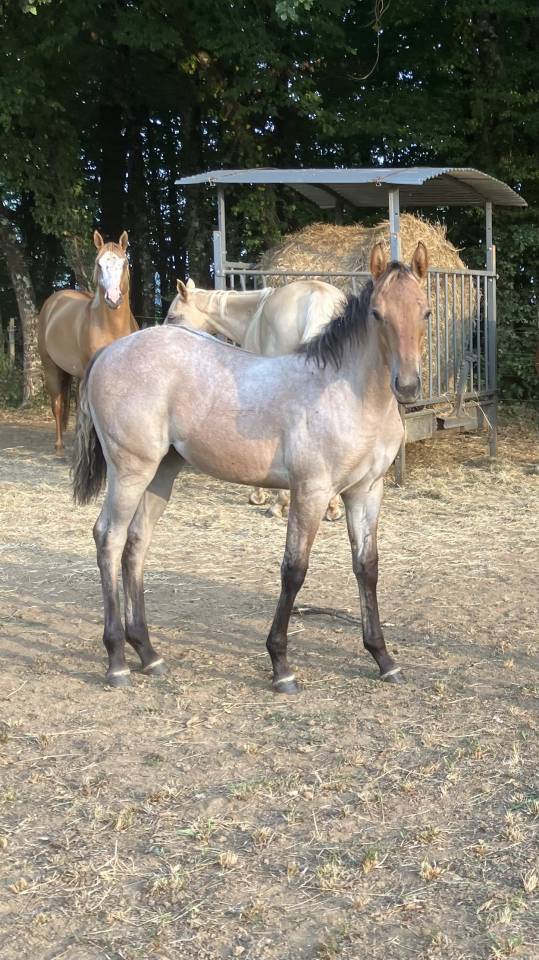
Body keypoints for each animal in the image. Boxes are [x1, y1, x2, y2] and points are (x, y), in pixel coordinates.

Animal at [38, 230, 137, 453]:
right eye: (99, 264)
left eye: (124, 263)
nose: (113, 298)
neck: (112, 327)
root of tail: (54, 300)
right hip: (51, 367)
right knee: (58, 405)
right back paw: (59, 446)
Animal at [165, 277, 345, 520]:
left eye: (173, 316)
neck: (252, 314)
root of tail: (318, 296)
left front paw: (258, 496)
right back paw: (332, 507)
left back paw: (279, 504)